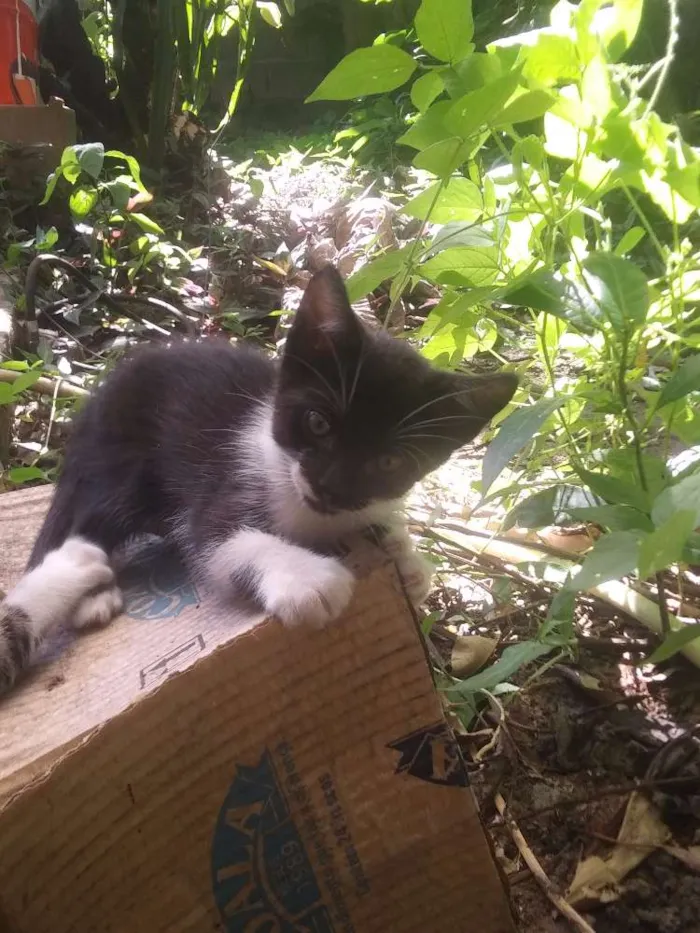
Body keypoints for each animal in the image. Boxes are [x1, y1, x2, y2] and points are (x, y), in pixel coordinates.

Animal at [0, 264, 516, 692]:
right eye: (318, 423)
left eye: (390, 463)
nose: (330, 485)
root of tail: (95, 401)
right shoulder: (223, 486)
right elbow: (219, 536)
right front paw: (306, 577)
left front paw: (407, 560)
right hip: (123, 461)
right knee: (87, 520)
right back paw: (88, 589)